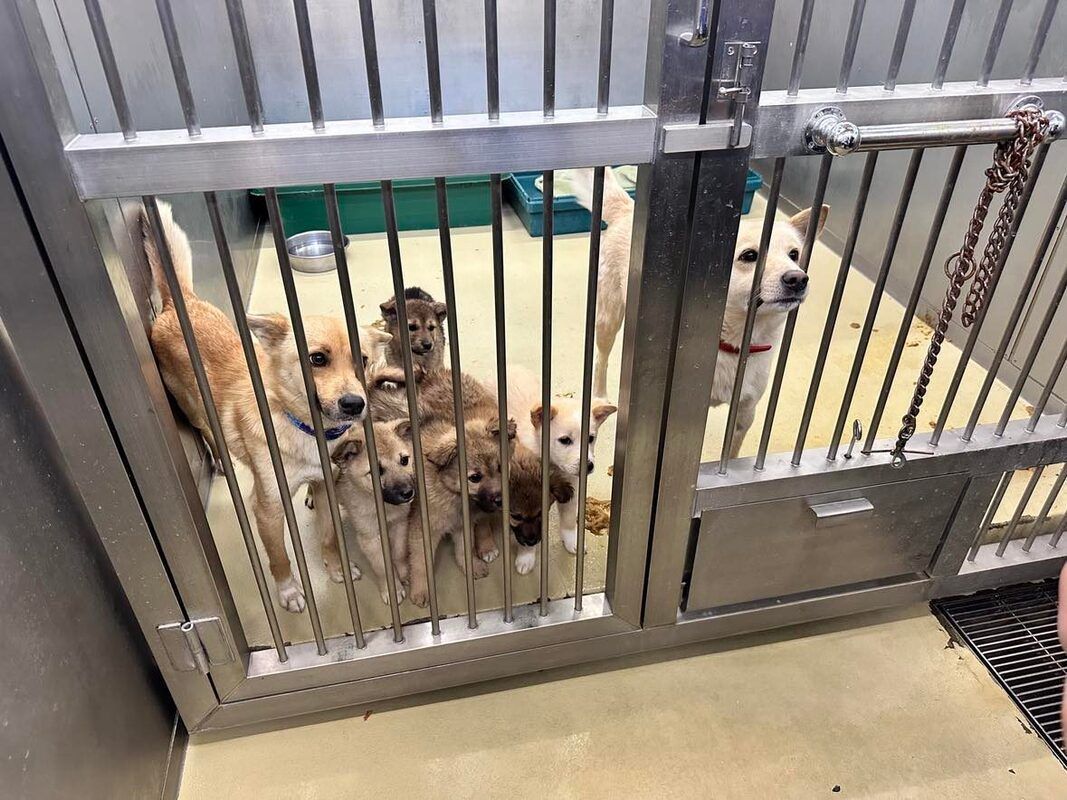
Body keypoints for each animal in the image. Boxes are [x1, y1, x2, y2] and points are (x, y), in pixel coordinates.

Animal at [144, 201, 390, 614]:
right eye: (317, 358)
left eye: (365, 360)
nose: (355, 404)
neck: (306, 430)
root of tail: (182, 303)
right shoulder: (268, 508)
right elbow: (279, 557)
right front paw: (289, 591)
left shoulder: (327, 486)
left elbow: (328, 537)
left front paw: (336, 568)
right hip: (193, 407)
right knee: (207, 431)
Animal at [322, 422, 413, 605]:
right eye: (376, 471)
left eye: (404, 460)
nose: (408, 493)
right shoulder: (370, 538)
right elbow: (382, 566)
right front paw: (392, 589)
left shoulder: (400, 523)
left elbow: (399, 552)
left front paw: (403, 572)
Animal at [505, 364, 618, 558]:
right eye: (565, 440)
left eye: (591, 438)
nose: (589, 466)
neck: (552, 463)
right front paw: (526, 556)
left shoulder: (571, 482)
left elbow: (568, 517)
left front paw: (572, 540)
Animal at [571, 169, 827, 456]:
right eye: (750, 256)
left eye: (794, 254)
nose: (798, 278)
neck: (732, 344)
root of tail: (629, 210)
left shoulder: (744, 415)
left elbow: (730, 455)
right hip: (609, 319)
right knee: (601, 358)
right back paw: (599, 397)